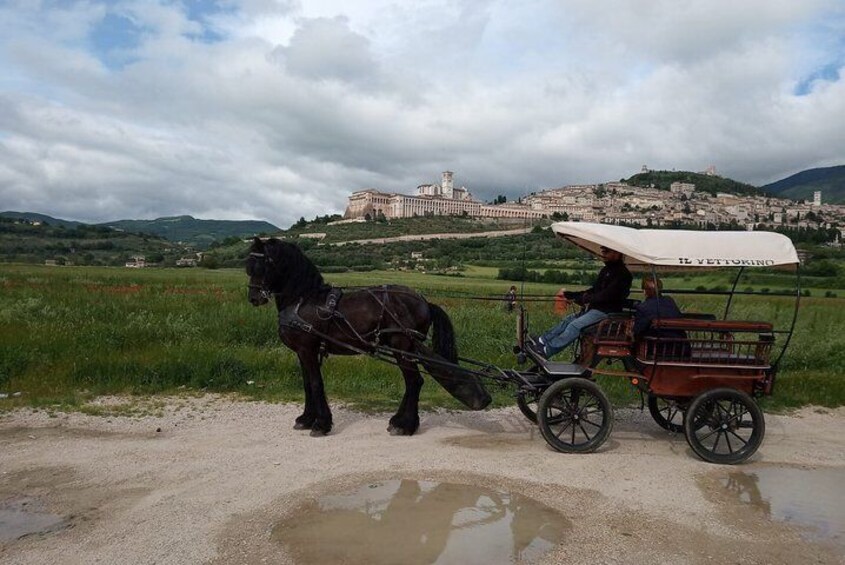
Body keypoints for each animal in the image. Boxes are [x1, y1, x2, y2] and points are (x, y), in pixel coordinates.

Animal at [244, 237, 492, 436]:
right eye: (248, 266)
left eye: (264, 264)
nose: (254, 298)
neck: (303, 300)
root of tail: (423, 301)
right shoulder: (303, 352)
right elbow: (306, 384)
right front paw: (306, 419)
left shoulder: (307, 349)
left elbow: (315, 383)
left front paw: (321, 424)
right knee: (413, 382)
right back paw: (398, 421)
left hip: (403, 346)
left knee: (414, 381)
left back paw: (405, 425)